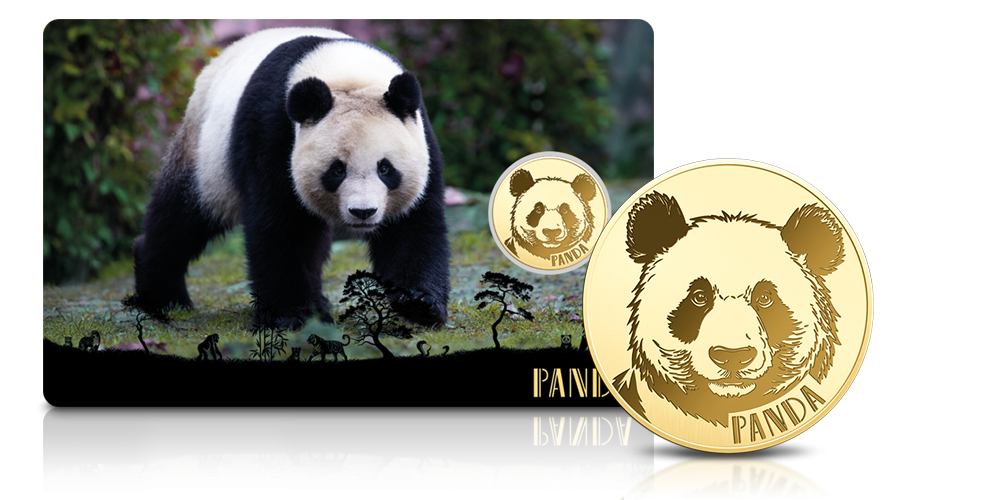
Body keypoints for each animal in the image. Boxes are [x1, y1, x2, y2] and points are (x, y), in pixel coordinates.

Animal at [131, 27, 450, 329]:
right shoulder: (272, 130)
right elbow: (279, 224)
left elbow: (413, 224)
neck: (347, 74)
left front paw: (419, 303)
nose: (363, 212)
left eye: (385, 169)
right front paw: (289, 315)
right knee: (183, 218)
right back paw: (162, 296)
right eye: (337, 170)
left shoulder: (421, 136)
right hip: (205, 153)